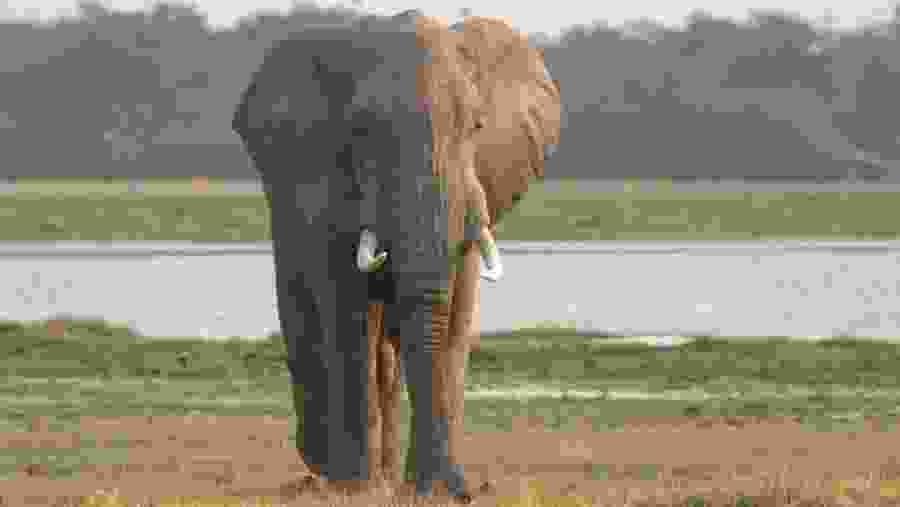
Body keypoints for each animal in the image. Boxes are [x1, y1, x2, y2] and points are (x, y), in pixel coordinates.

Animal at [231, 10, 505, 501]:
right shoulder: (317, 175)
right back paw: (331, 472)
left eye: (475, 127)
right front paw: (357, 487)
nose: (459, 491)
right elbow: (345, 301)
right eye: (362, 132)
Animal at [363, 14, 563, 490]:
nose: (465, 492)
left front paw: (439, 486)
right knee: (380, 351)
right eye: (372, 132)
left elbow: (455, 328)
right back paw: (379, 481)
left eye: (476, 128)